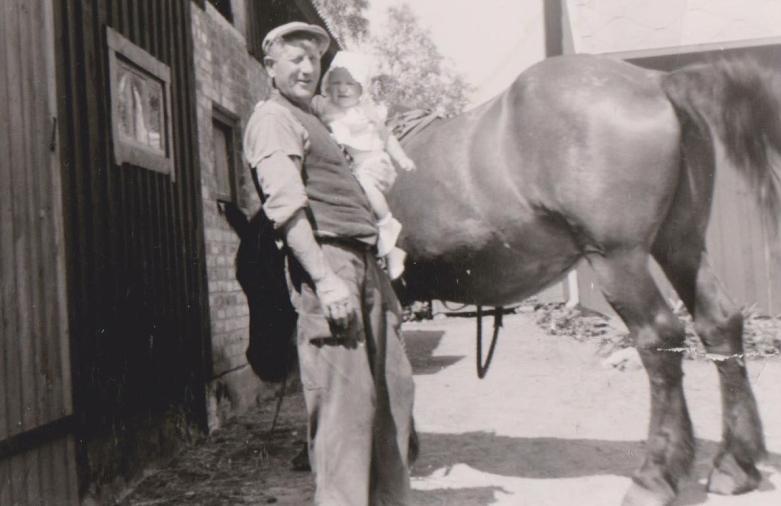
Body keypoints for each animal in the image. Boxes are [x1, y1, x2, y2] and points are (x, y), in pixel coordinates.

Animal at [390, 53, 780, 504]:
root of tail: (658, 83)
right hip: (682, 247)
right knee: (720, 323)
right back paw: (735, 466)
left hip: (618, 259)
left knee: (660, 339)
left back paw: (654, 475)